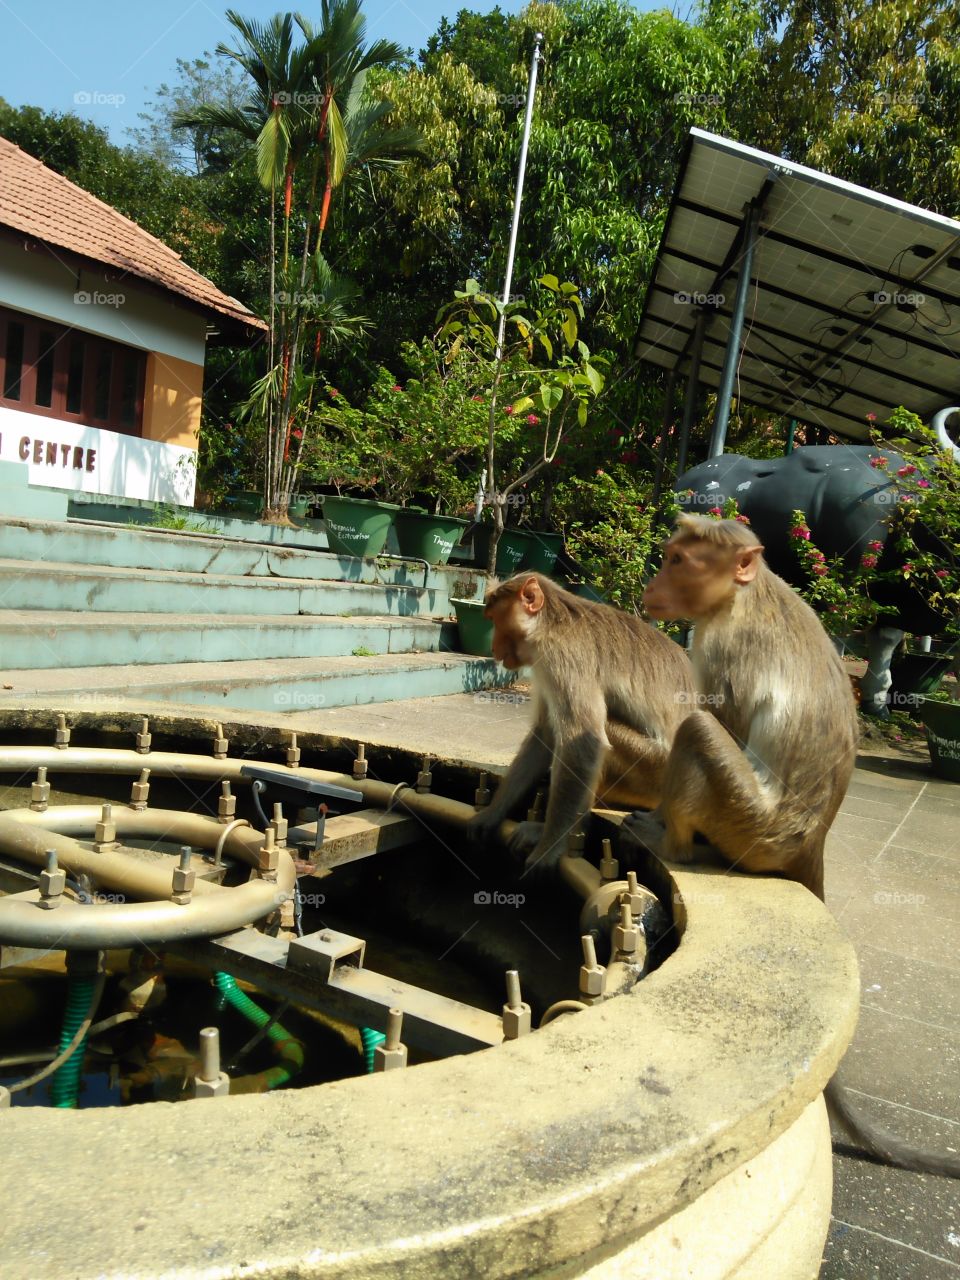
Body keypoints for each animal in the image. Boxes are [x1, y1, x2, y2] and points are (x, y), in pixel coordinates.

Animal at [469, 571, 696, 876]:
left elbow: (583, 743)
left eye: (495, 619)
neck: (549, 624)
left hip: (654, 773)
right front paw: (491, 814)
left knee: (599, 737)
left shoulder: (562, 657)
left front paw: (549, 848)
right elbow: (545, 734)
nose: (493, 648)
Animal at [623, 514, 960, 1179]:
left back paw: (673, 841)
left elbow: (714, 718)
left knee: (699, 730)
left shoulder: (719, 646)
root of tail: (813, 840)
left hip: (746, 821)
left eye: (680, 561)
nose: (653, 582)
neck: (743, 593)